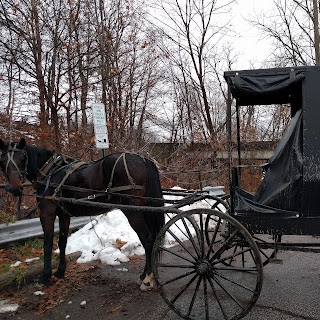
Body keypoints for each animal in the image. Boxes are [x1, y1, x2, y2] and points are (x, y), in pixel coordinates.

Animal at [0, 138, 165, 290]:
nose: (15, 189)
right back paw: (145, 276)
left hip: (132, 210)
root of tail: (142, 159)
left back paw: (147, 278)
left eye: (23, 159)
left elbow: (47, 244)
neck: (50, 172)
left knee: (147, 238)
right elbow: (62, 242)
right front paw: (60, 272)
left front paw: (45, 276)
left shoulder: (47, 213)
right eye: (2, 162)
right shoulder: (64, 215)